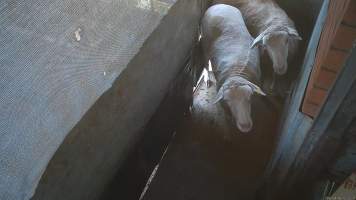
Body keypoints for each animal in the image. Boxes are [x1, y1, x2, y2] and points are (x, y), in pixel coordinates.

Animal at [202, 3, 266, 133]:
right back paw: (207, 79)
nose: (245, 126)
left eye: (249, 97)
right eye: (228, 101)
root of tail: (218, 4)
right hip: (205, 44)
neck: (237, 73)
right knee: (206, 62)